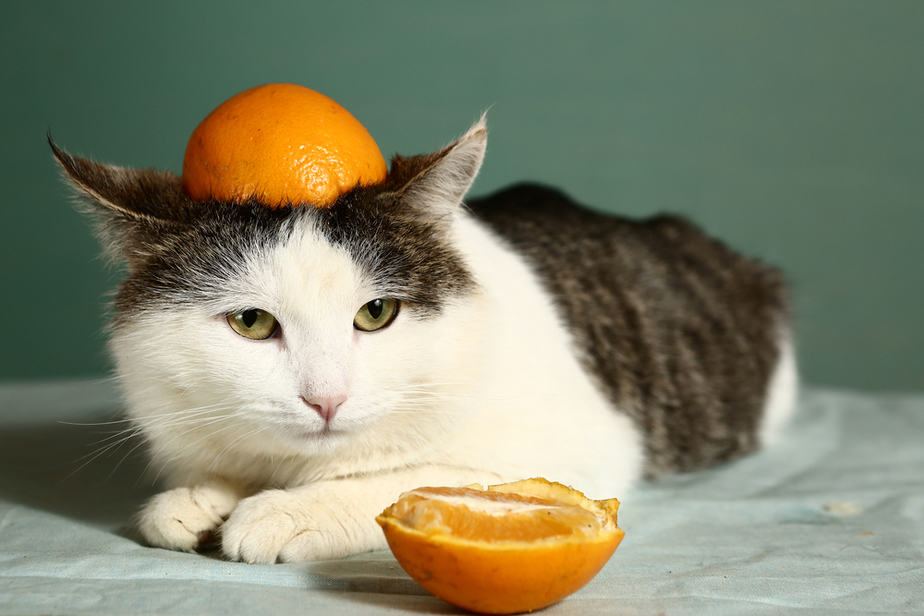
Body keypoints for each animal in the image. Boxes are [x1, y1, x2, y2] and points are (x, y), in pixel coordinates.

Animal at [50, 115, 796, 564]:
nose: (326, 399)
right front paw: (199, 497)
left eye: (377, 313)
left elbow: (416, 481)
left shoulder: (579, 452)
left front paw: (288, 510)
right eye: (251, 323)